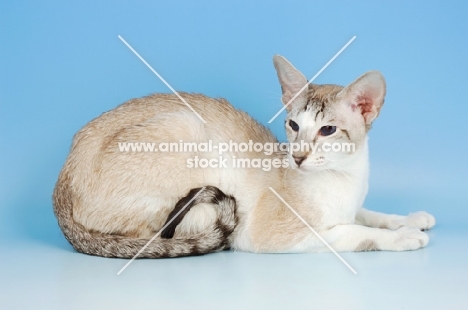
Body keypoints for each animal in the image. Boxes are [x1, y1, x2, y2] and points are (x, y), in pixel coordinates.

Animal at [54, 55, 436, 256]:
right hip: (185, 126)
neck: (346, 178)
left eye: (327, 130)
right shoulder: (280, 236)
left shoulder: (353, 205)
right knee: (161, 235)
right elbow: (354, 232)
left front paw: (410, 219)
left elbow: (369, 215)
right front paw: (403, 236)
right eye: (293, 125)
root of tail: (61, 181)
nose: (298, 157)